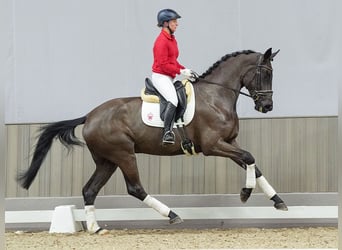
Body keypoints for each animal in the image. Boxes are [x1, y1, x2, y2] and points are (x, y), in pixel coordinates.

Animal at [18, 47, 286, 233]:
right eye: (266, 73)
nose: (267, 106)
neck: (216, 95)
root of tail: (90, 115)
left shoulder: (230, 142)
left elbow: (253, 164)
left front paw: (278, 201)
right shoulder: (213, 146)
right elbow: (250, 158)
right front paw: (245, 193)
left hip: (107, 161)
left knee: (89, 190)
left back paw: (96, 228)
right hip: (124, 154)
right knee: (135, 188)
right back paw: (172, 215)